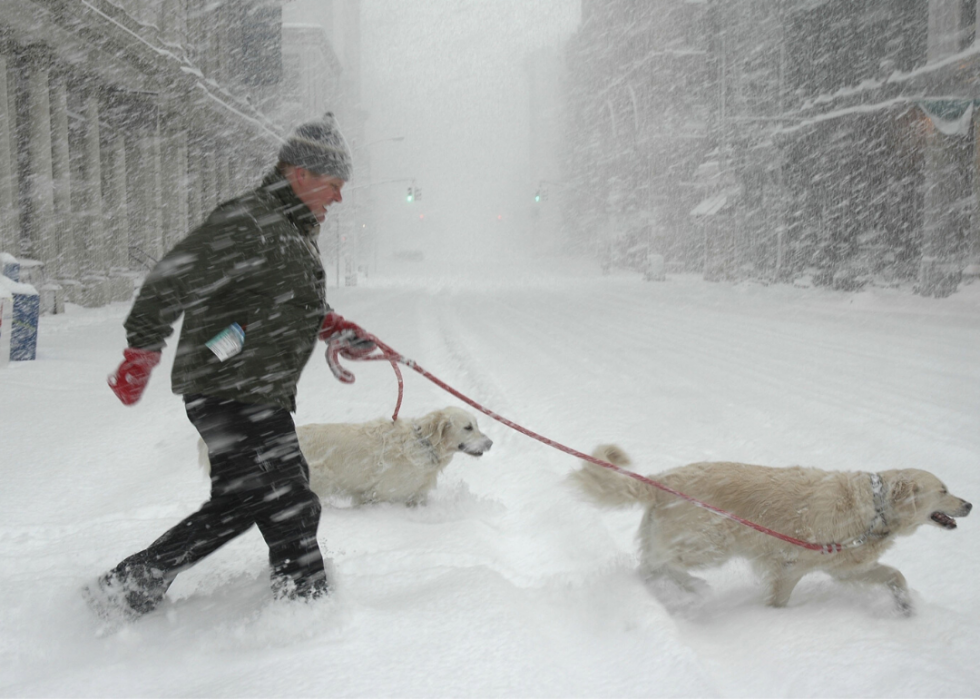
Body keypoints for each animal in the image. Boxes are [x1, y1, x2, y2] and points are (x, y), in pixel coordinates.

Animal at [572, 446, 968, 616]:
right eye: (944, 490)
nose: (969, 505)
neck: (874, 508)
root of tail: (662, 480)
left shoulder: (846, 567)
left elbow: (895, 575)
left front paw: (906, 607)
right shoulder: (792, 567)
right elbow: (780, 600)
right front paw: (774, 621)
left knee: (650, 566)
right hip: (712, 542)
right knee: (664, 564)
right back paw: (694, 588)